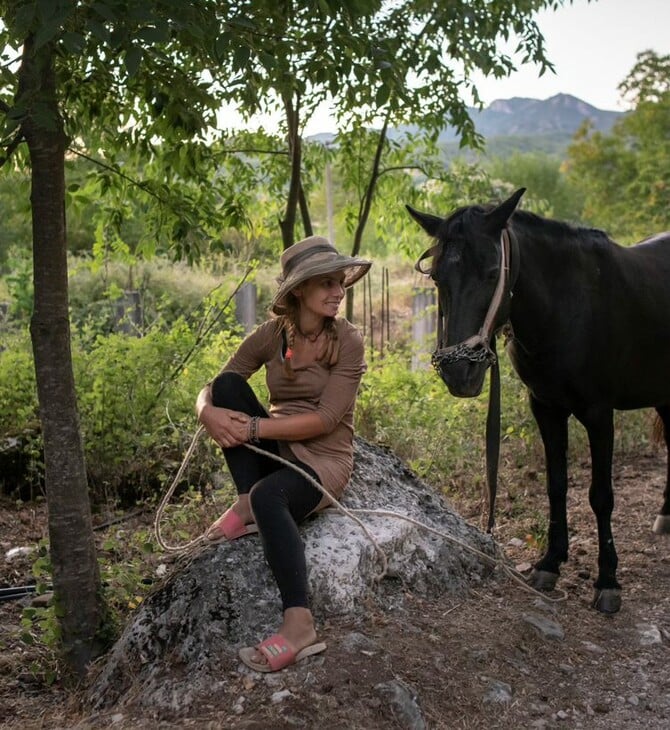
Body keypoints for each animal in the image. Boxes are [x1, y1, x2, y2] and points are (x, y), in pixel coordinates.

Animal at [406, 188, 670, 608]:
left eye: (492, 273)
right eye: (436, 277)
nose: (459, 372)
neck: (569, 306)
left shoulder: (599, 414)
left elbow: (601, 495)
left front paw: (608, 580)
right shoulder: (545, 408)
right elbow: (556, 484)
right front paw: (550, 562)